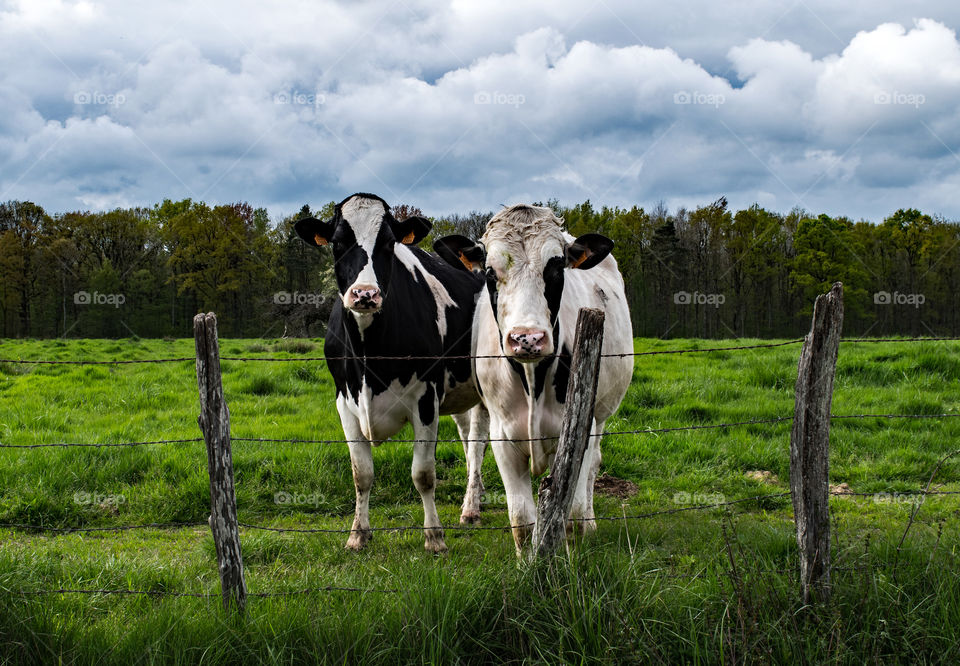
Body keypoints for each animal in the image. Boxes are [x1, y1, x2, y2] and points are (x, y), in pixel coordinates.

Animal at [292, 195, 488, 552]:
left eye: (388, 243)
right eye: (338, 243)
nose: (365, 294)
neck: (369, 355)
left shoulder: (426, 398)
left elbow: (423, 474)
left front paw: (434, 537)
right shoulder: (345, 401)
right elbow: (362, 473)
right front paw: (358, 534)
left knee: (479, 441)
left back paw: (471, 508)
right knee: (468, 438)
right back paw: (475, 496)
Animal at [436, 205, 632, 552]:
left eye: (556, 269)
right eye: (489, 272)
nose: (527, 338)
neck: (533, 379)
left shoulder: (578, 432)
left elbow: (570, 517)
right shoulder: (504, 437)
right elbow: (522, 520)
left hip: (601, 411)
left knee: (594, 465)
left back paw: (592, 521)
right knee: (475, 445)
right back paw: (470, 509)